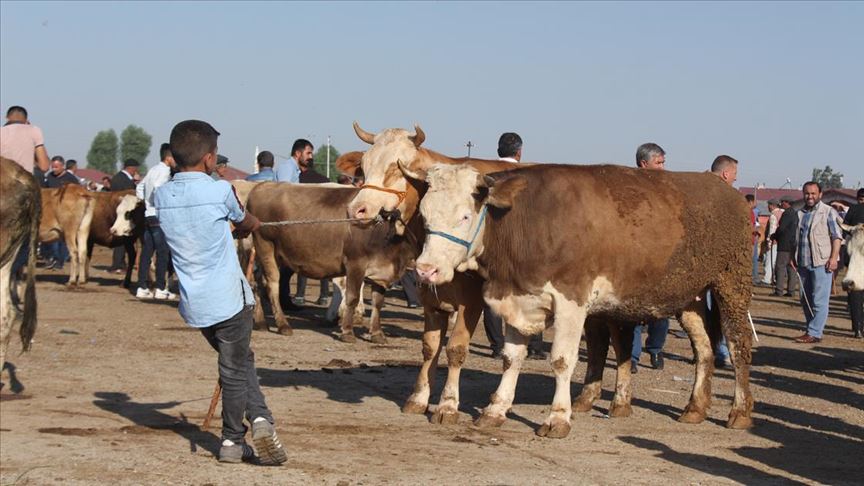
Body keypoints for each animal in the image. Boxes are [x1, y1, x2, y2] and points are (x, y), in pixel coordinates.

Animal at [412, 162, 756, 436]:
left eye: (464, 216)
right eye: (424, 217)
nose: (426, 269)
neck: (529, 220)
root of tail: (725, 188)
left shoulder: (571, 302)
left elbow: (562, 360)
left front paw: (557, 418)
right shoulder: (519, 298)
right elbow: (512, 357)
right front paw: (496, 410)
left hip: (732, 281)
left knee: (737, 344)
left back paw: (739, 411)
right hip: (688, 295)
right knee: (704, 349)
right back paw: (695, 407)